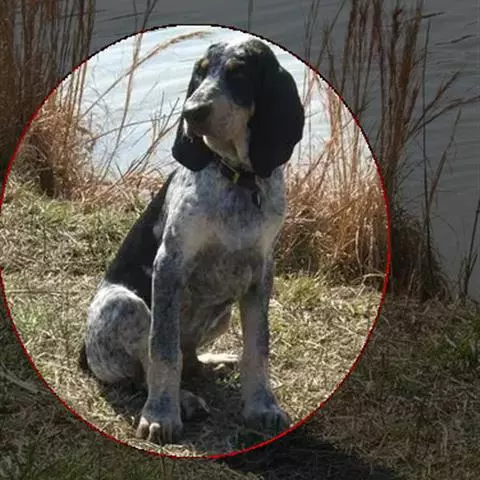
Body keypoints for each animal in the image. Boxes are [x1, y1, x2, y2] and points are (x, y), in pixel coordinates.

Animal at [80, 37, 305, 445]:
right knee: (148, 367)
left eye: (239, 74)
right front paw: (161, 416)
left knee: (191, 357)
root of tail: (83, 355)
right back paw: (181, 399)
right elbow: (163, 352)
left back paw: (213, 364)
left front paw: (261, 406)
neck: (239, 179)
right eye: (199, 73)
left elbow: (258, 347)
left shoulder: (261, 273)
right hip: (127, 305)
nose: (191, 112)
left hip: (223, 313)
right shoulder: (170, 265)